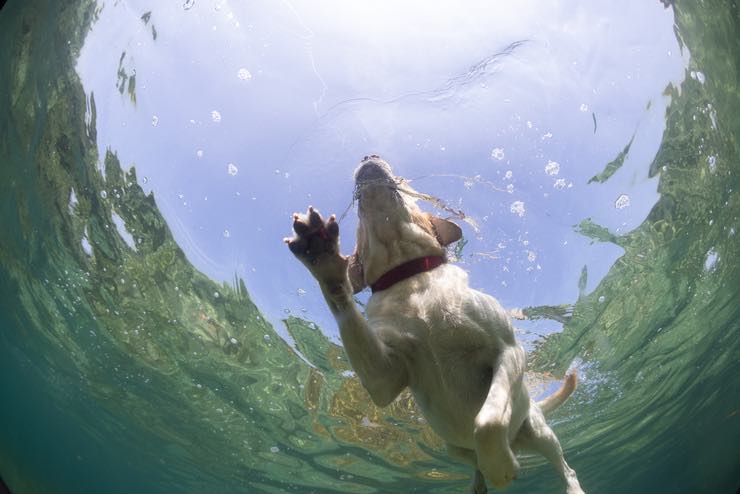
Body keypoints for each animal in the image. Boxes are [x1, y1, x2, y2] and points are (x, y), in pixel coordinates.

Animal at [286, 156, 588, 492]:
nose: (368, 157)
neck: (412, 279)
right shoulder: (384, 379)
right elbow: (341, 300)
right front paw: (322, 257)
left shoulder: (508, 351)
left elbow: (488, 420)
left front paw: (501, 466)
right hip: (453, 448)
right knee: (473, 462)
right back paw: (478, 482)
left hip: (538, 431)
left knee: (564, 467)